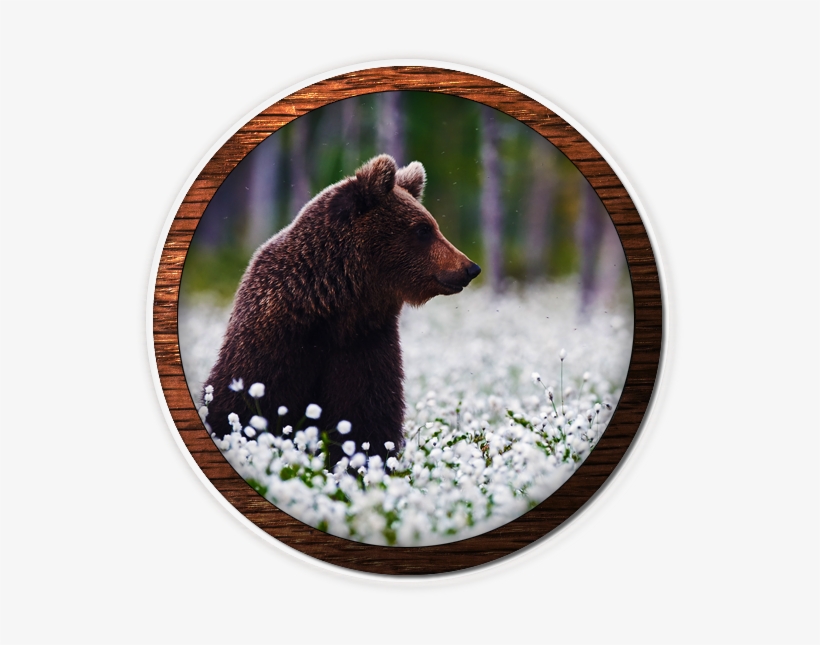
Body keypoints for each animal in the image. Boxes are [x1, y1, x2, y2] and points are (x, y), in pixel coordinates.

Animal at [202, 154, 481, 465]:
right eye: (423, 229)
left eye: (432, 226)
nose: (470, 268)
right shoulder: (276, 340)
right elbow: (245, 401)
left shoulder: (366, 343)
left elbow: (367, 416)